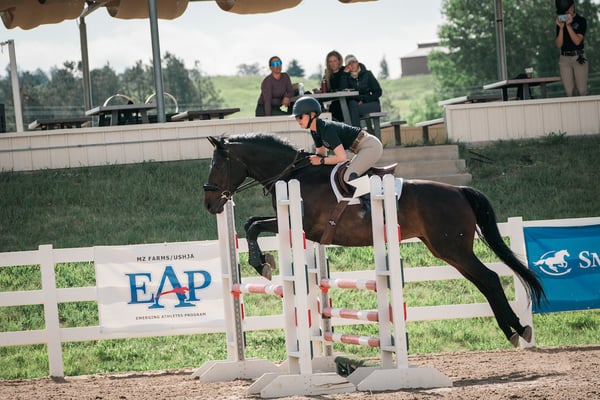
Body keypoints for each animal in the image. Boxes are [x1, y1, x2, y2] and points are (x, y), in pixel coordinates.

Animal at [204, 133, 548, 346]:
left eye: (218, 165)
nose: (209, 204)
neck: (295, 174)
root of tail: (460, 191)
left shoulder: (303, 225)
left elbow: (253, 225)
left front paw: (262, 263)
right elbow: (251, 223)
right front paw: (263, 261)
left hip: (453, 248)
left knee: (489, 279)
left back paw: (518, 330)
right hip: (446, 250)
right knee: (484, 282)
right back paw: (515, 330)